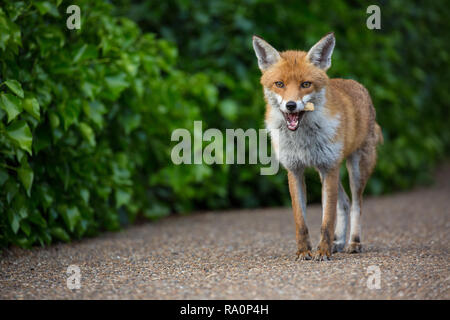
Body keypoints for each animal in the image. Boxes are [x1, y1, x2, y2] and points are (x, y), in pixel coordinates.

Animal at [251, 33, 382, 260]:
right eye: (279, 84)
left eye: (305, 84)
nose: (291, 105)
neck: (302, 140)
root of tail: (358, 85)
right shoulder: (295, 169)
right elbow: (300, 221)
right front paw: (304, 251)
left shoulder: (328, 167)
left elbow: (326, 220)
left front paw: (322, 251)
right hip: (328, 171)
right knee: (344, 202)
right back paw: (338, 242)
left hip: (354, 168)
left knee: (356, 204)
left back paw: (353, 243)